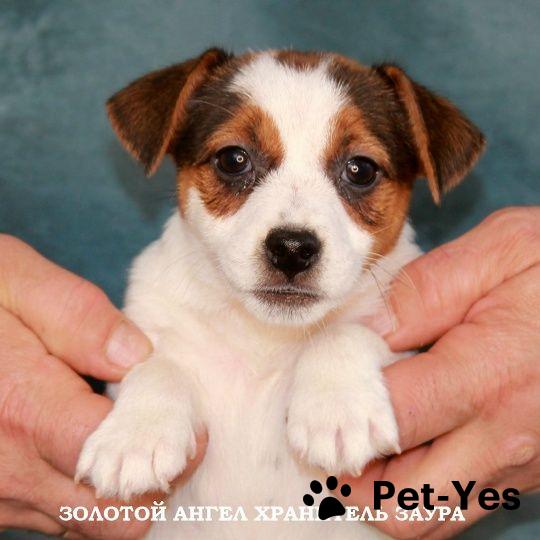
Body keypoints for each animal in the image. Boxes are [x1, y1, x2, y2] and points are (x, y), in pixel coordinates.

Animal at [76, 48, 484, 539]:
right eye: (233, 159)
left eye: (361, 169)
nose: (292, 249)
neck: (266, 339)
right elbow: (155, 365)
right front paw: (134, 437)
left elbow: (344, 332)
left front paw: (338, 409)